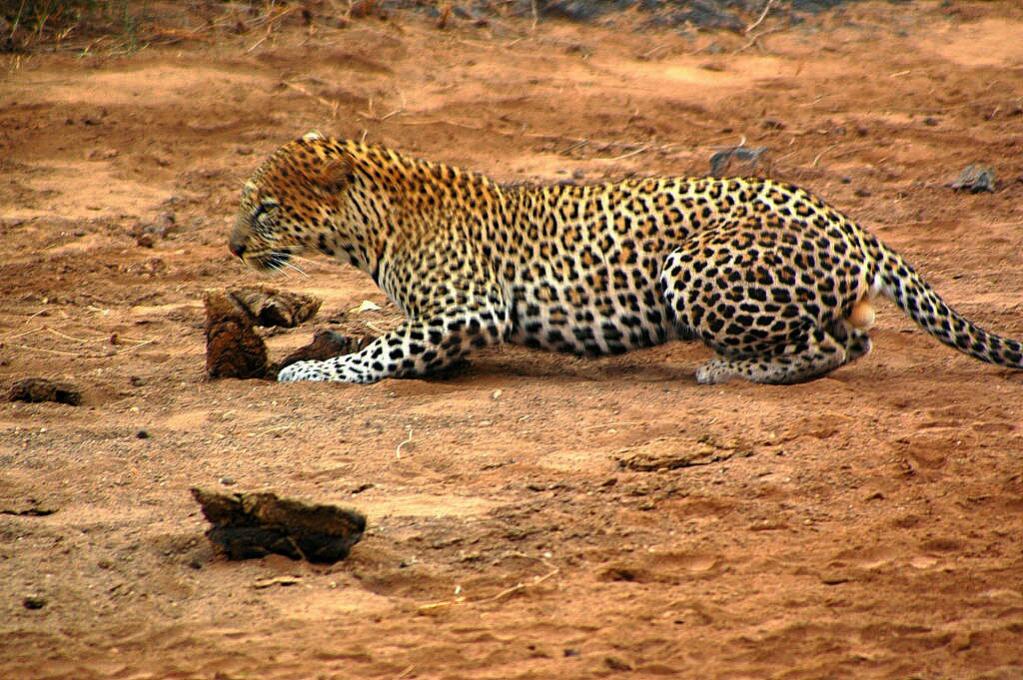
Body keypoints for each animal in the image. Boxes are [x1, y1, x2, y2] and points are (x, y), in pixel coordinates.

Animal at [228, 131, 1023, 385]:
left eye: (264, 209)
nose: (232, 246)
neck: (374, 226)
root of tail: (852, 223)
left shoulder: (467, 310)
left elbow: (373, 354)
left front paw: (304, 371)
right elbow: (387, 345)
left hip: (691, 267)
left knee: (827, 347)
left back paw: (725, 370)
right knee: (855, 336)